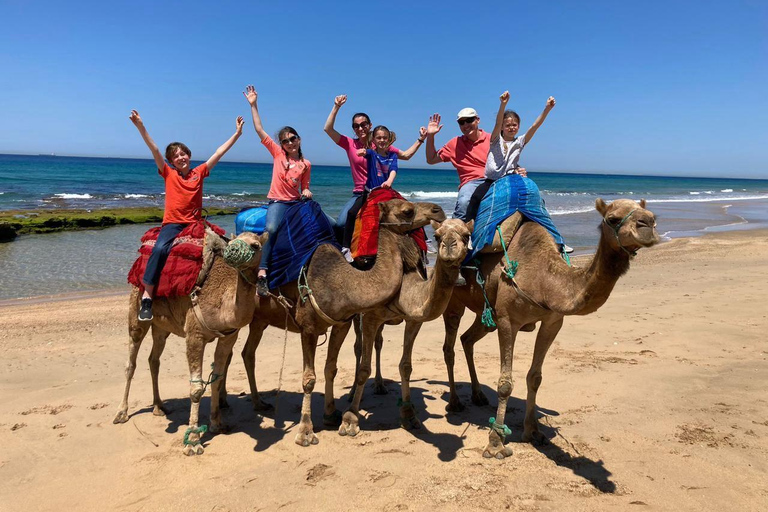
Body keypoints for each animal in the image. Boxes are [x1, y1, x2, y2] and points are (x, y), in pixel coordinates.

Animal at [112, 228, 268, 456]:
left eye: (256, 245)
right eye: (235, 241)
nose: (231, 252)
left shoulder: (228, 336)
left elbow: (217, 379)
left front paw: (217, 424)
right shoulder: (195, 334)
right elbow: (196, 388)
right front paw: (193, 441)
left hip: (162, 327)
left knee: (154, 360)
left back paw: (159, 406)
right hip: (136, 313)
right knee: (131, 362)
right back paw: (121, 413)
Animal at [338, 216, 474, 436]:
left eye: (467, 235)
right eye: (437, 236)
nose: (449, 246)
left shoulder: (413, 320)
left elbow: (406, 366)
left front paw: (409, 415)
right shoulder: (370, 317)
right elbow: (364, 368)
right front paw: (350, 419)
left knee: (378, 342)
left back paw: (380, 385)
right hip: (357, 312)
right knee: (358, 347)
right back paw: (351, 393)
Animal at [440, 198, 656, 458]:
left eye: (652, 214)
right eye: (612, 219)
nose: (648, 224)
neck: (544, 279)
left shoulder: (552, 322)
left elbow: (535, 377)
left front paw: (533, 432)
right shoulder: (507, 320)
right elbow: (505, 383)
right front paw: (495, 443)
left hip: (485, 314)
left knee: (467, 339)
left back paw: (478, 395)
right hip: (454, 300)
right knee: (449, 346)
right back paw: (455, 402)